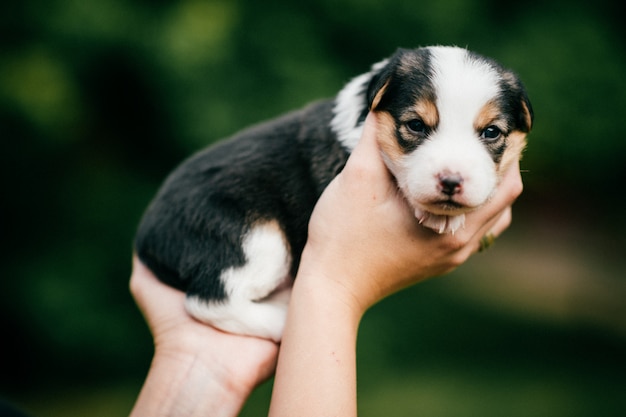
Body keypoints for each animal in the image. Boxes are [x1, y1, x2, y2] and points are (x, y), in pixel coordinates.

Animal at [133, 45, 532, 340]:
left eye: (492, 132)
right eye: (416, 125)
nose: (451, 181)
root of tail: (147, 237)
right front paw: (437, 213)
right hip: (255, 238)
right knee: (208, 300)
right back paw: (282, 321)